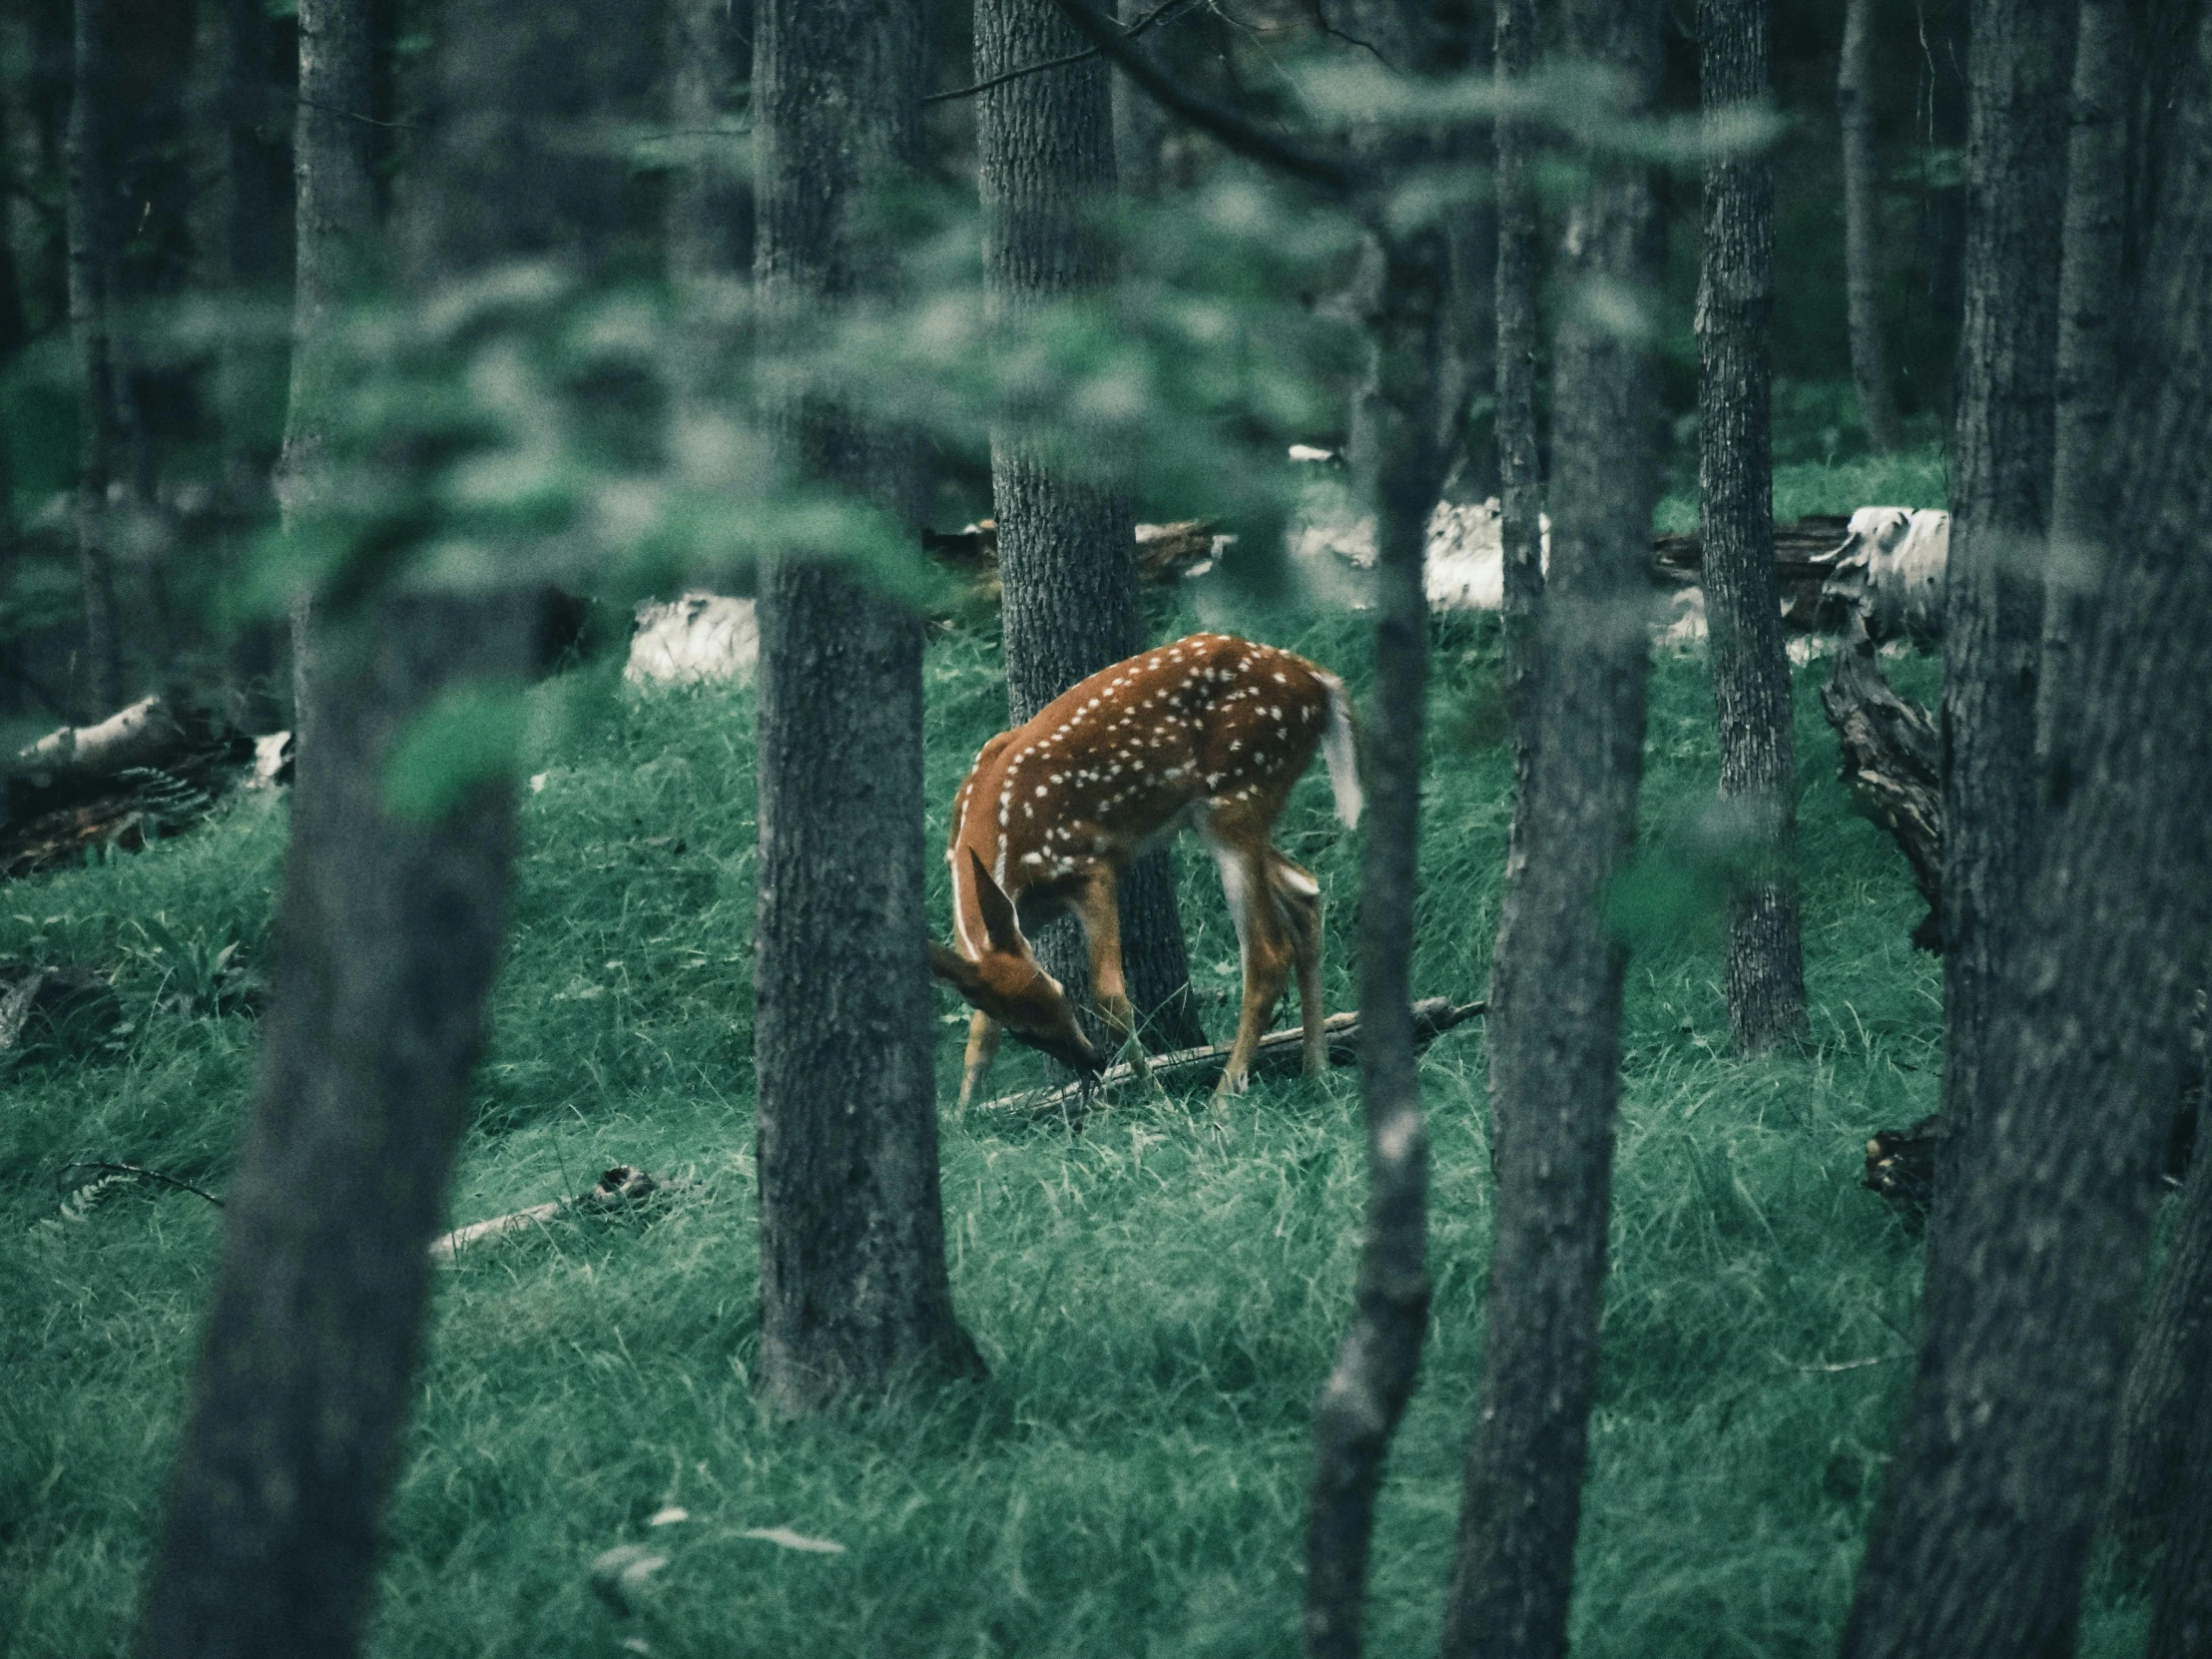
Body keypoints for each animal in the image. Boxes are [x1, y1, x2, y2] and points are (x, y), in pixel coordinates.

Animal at [924, 628, 1354, 1110]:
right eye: (1024, 1030)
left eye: (1059, 992)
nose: (1091, 1061)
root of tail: (1317, 679)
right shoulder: (1018, 919)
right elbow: (980, 1034)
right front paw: (963, 1118)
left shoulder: (1090, 865)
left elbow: (1109, 995)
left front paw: (1155, 1097)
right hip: (1231, 810)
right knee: (1305, 889)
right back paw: (1316, 1072)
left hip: (1239, 791)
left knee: (1267, 952)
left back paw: (1223, 1096)